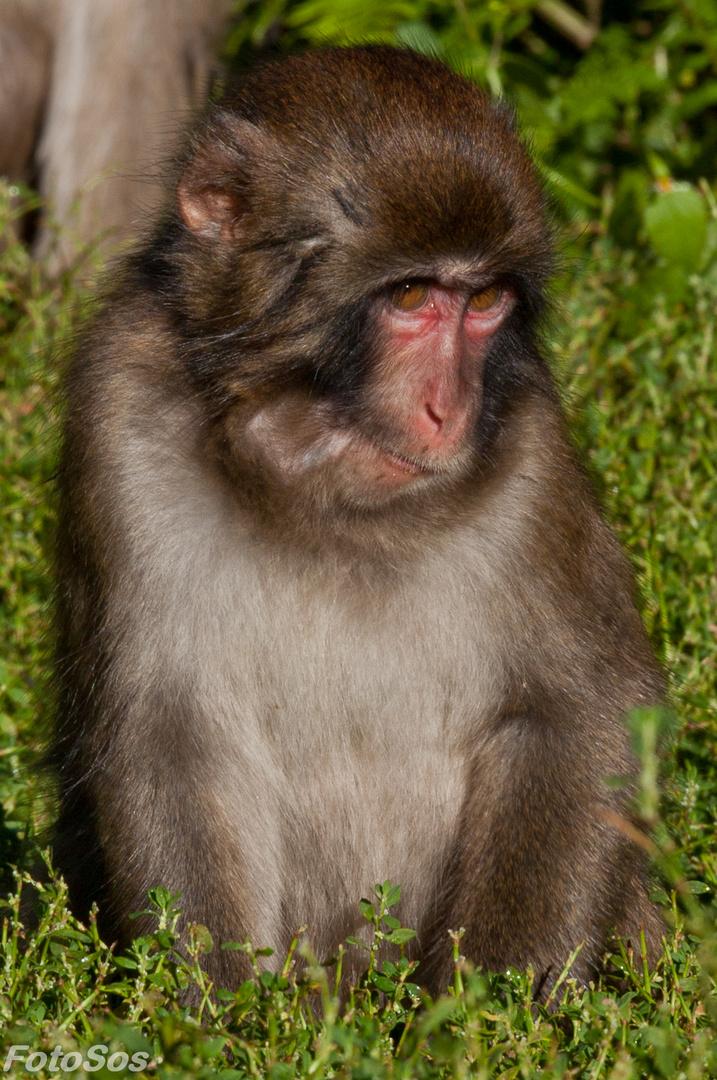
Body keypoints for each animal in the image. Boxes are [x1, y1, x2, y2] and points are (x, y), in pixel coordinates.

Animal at [53, 48, 665, 993]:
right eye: (410, 295)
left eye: (483, 300)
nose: (448, 411)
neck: (326, 508)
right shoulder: (121, 410)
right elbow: (167, 737)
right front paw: (227, 1018)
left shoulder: (527, 450)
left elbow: (575, 717)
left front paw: (488, 1015)